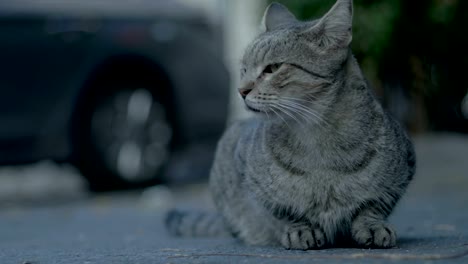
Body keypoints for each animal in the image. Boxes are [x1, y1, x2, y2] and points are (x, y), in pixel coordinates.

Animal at [166, 0, 414, 250]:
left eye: (273, 68)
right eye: (244, 69)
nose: (241, 90)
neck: (317, 136)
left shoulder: (403, 170)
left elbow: (372, 206)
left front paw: (372, 226)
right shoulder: (251, 179)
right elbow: (284, 210)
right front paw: (302, 228)